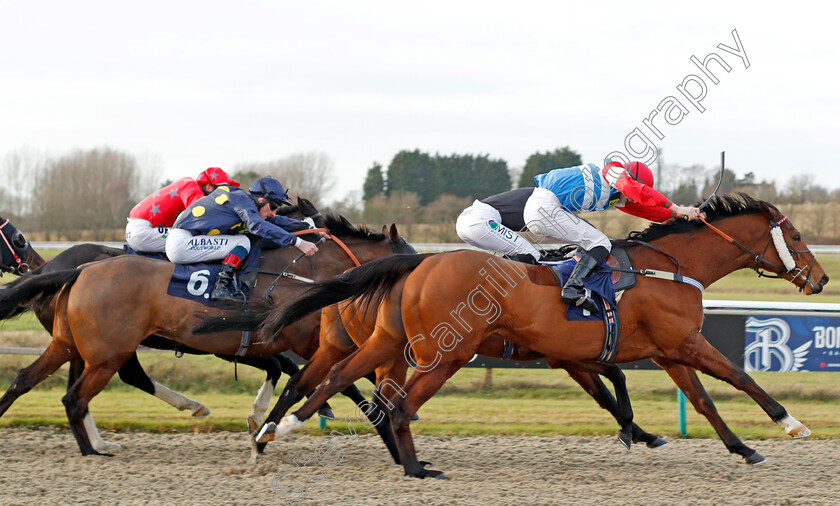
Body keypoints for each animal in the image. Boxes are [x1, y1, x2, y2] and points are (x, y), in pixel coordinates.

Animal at [254, 194, 828, 478]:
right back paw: (414, 468)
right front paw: (791, 424)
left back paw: (276, 432)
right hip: (442, 354)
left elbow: (701, 401)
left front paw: (741, 449)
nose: (821, 279)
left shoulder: (664, 351)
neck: (670, 267)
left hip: (381, 341)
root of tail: (418, 263)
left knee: (332, 381)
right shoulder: (683, 343)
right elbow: (738, 377)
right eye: (797, 235)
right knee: (394, 404)